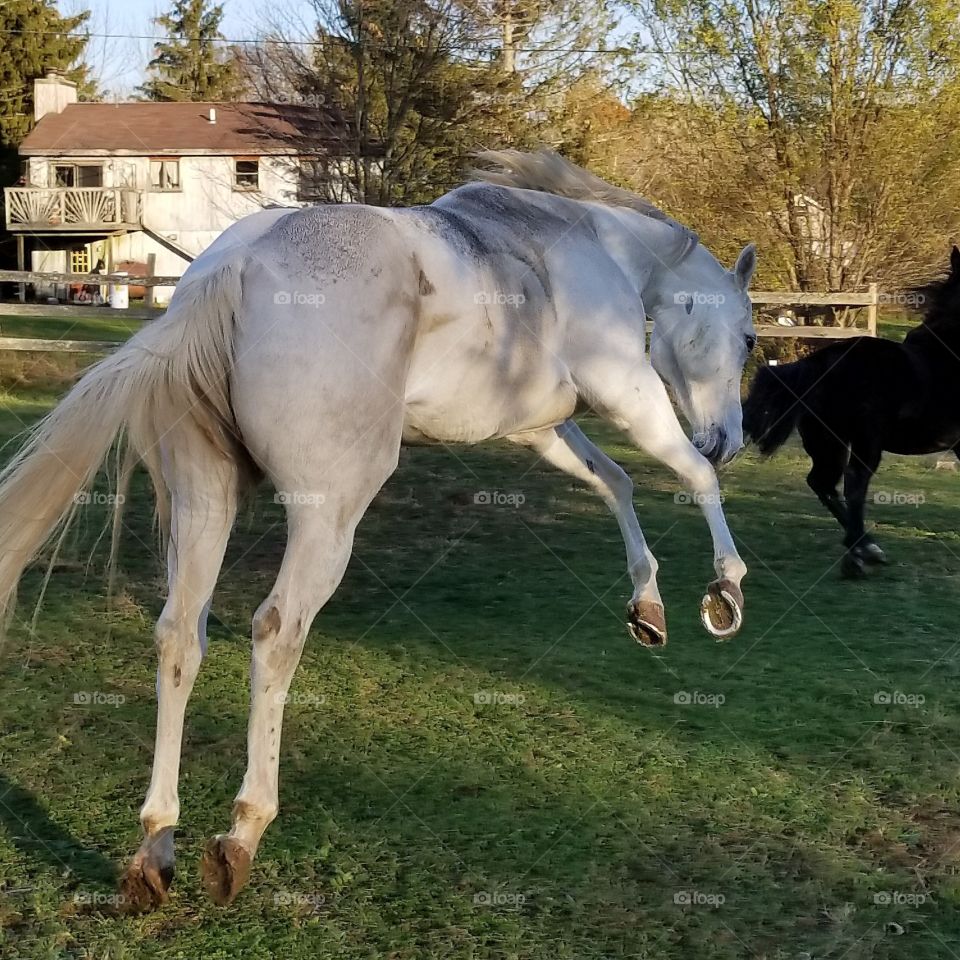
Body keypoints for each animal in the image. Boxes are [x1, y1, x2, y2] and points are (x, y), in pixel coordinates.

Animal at [0, 150, 756, 908]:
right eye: (749, 341)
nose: (731, 440)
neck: (594, 245)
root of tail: (233, 267)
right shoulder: (628, 393)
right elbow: (692, 479)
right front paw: (725, 593)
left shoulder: (542, 430)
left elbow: (616, 484)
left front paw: (648, 607)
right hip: (327, 515)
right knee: (276, 632)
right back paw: (241, 834)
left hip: (203, 501)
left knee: (180, 637)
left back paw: (154, 850)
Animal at [748, 249, 960, 576]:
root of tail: (820, 363)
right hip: (864, 443)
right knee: (854, 482)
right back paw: (864, 551)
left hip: (827, 442)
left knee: (823, 483)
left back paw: (860, 551)